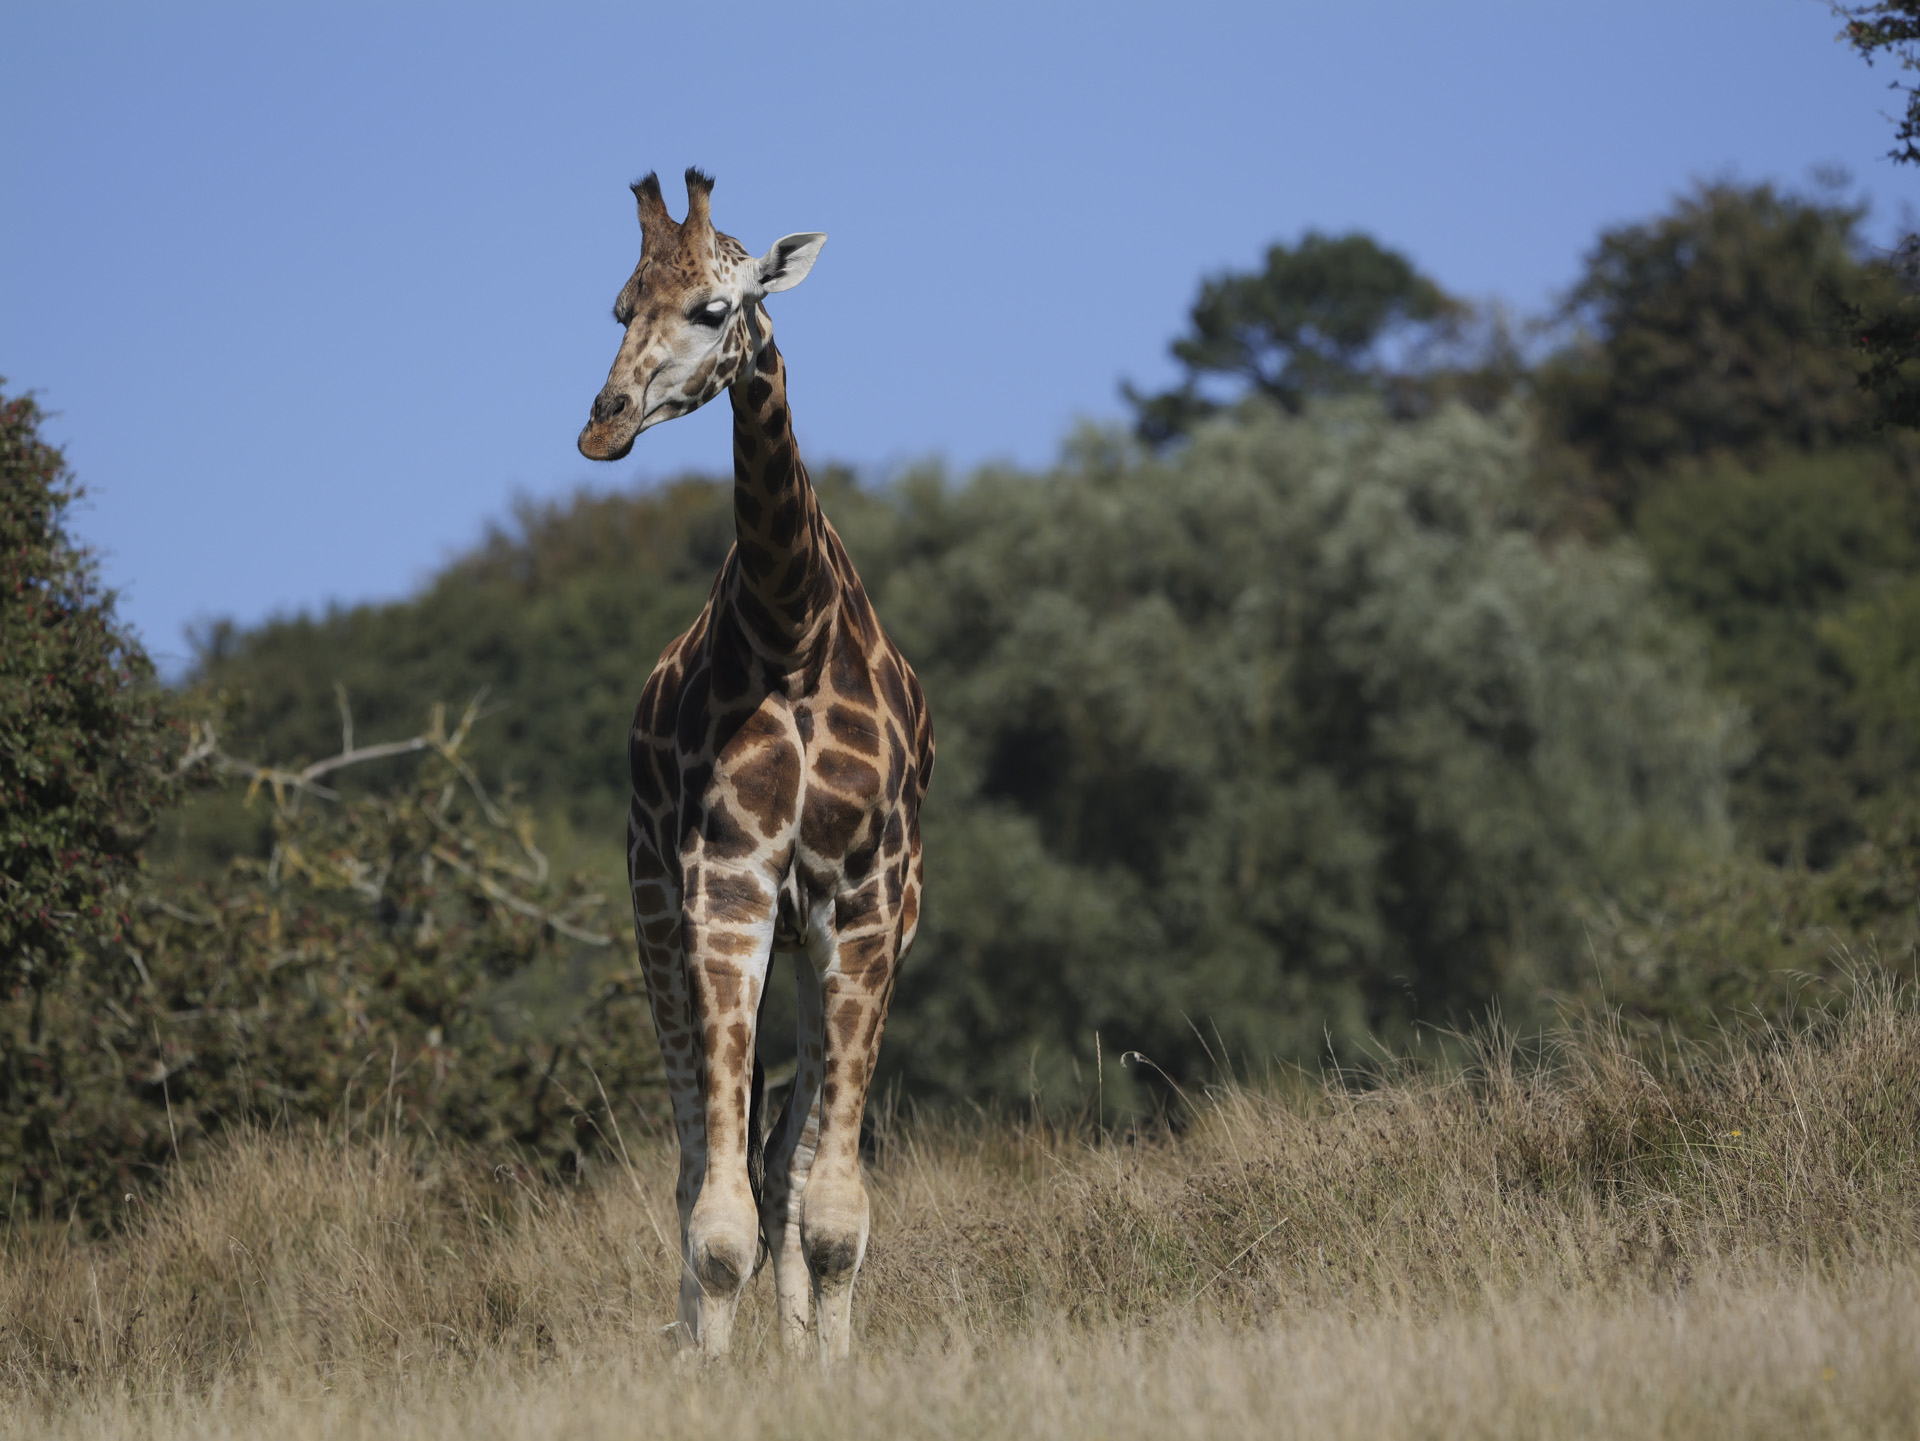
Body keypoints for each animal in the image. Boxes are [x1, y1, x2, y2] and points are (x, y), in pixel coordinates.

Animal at [572, 168, 933, 1366]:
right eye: (620, 305)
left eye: (715, 308)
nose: (601, 426)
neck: (793, 625)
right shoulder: (725, 883)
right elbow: (718, 1216)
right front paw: (713, 1370)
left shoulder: (864, 897)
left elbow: (830, 1209)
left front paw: (827, 1367)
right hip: (656, 911)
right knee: (701, 1161)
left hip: (842, 934)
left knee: (785, 1156)